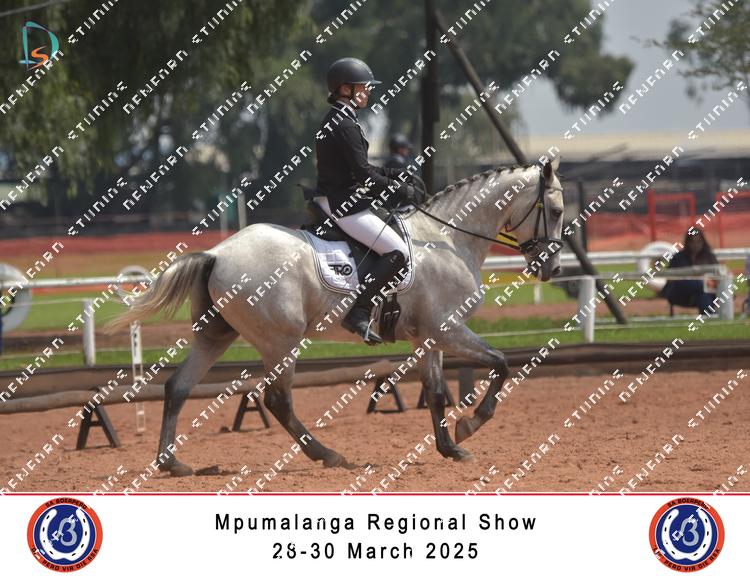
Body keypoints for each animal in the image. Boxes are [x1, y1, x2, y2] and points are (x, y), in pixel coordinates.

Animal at [107, 158, 564, 476]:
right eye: (557, 210)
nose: (553, 269)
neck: (446, 239)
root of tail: (217, 253)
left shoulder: (428, 338)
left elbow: (436, 393)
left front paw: (450, 447)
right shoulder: (449, 330)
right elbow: (501, 364)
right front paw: (471, 425)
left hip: (217, 336)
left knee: (178, 387)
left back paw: (172, 463)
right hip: (281, 341)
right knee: (277, 400)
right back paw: (327, 454)